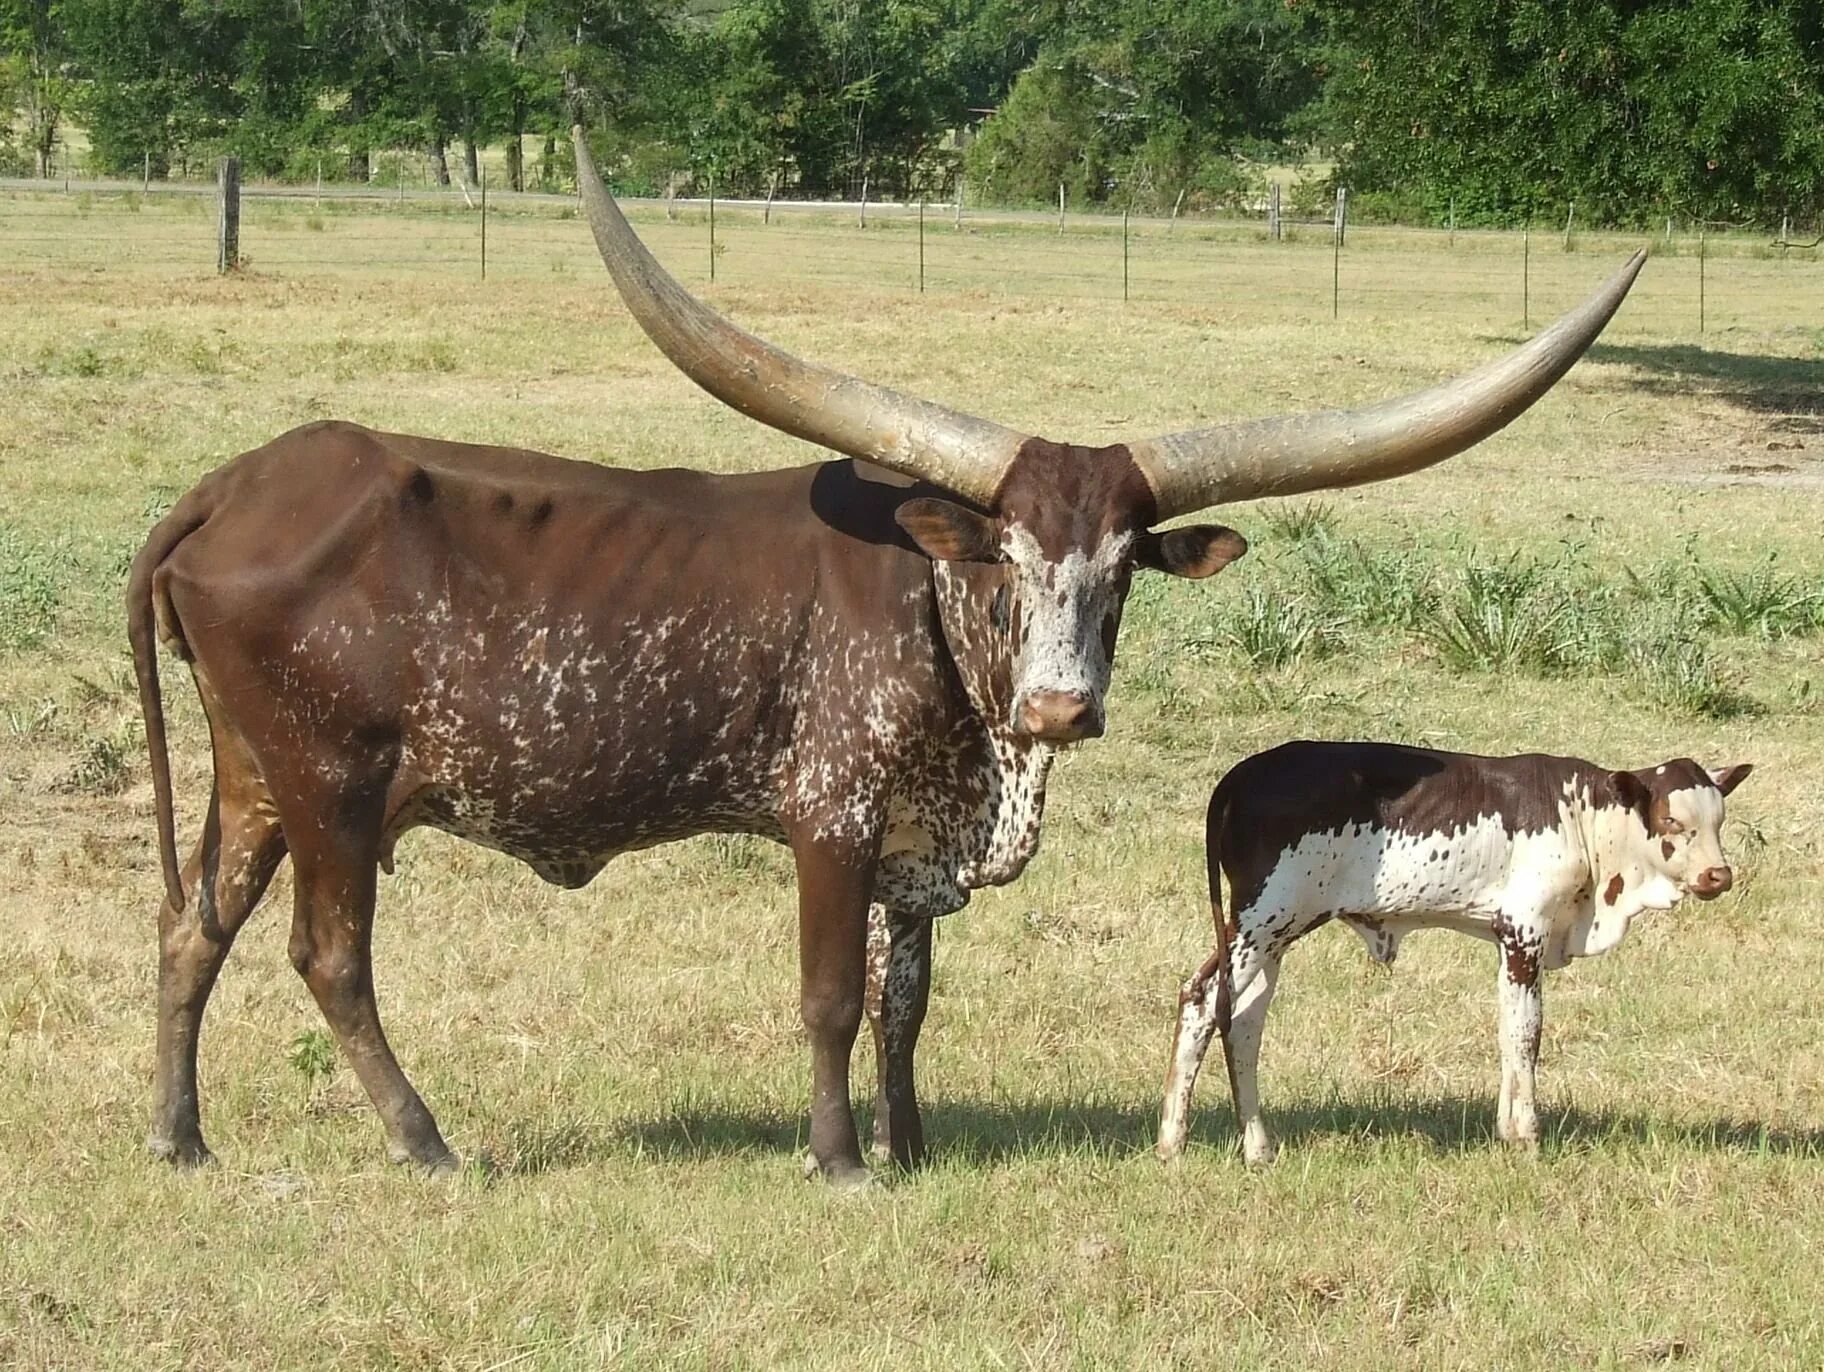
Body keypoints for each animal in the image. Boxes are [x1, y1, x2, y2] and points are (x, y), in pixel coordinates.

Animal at [1152, 744, 1751, 1160]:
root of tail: (1242, 774)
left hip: (1274, 933)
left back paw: (1257, 1146)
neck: (1584, 819)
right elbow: (1526, 1035)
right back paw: (1172, 1143)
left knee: (1244, 1022)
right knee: (1203, 1000)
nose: (1717, 875)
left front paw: (1508, 1131)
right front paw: (1527, 1136)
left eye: (1718, 821)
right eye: (1672, 821)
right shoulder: (1524, 933)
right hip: (1261, 921)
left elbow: (1510, 1034)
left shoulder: (1510, 941)